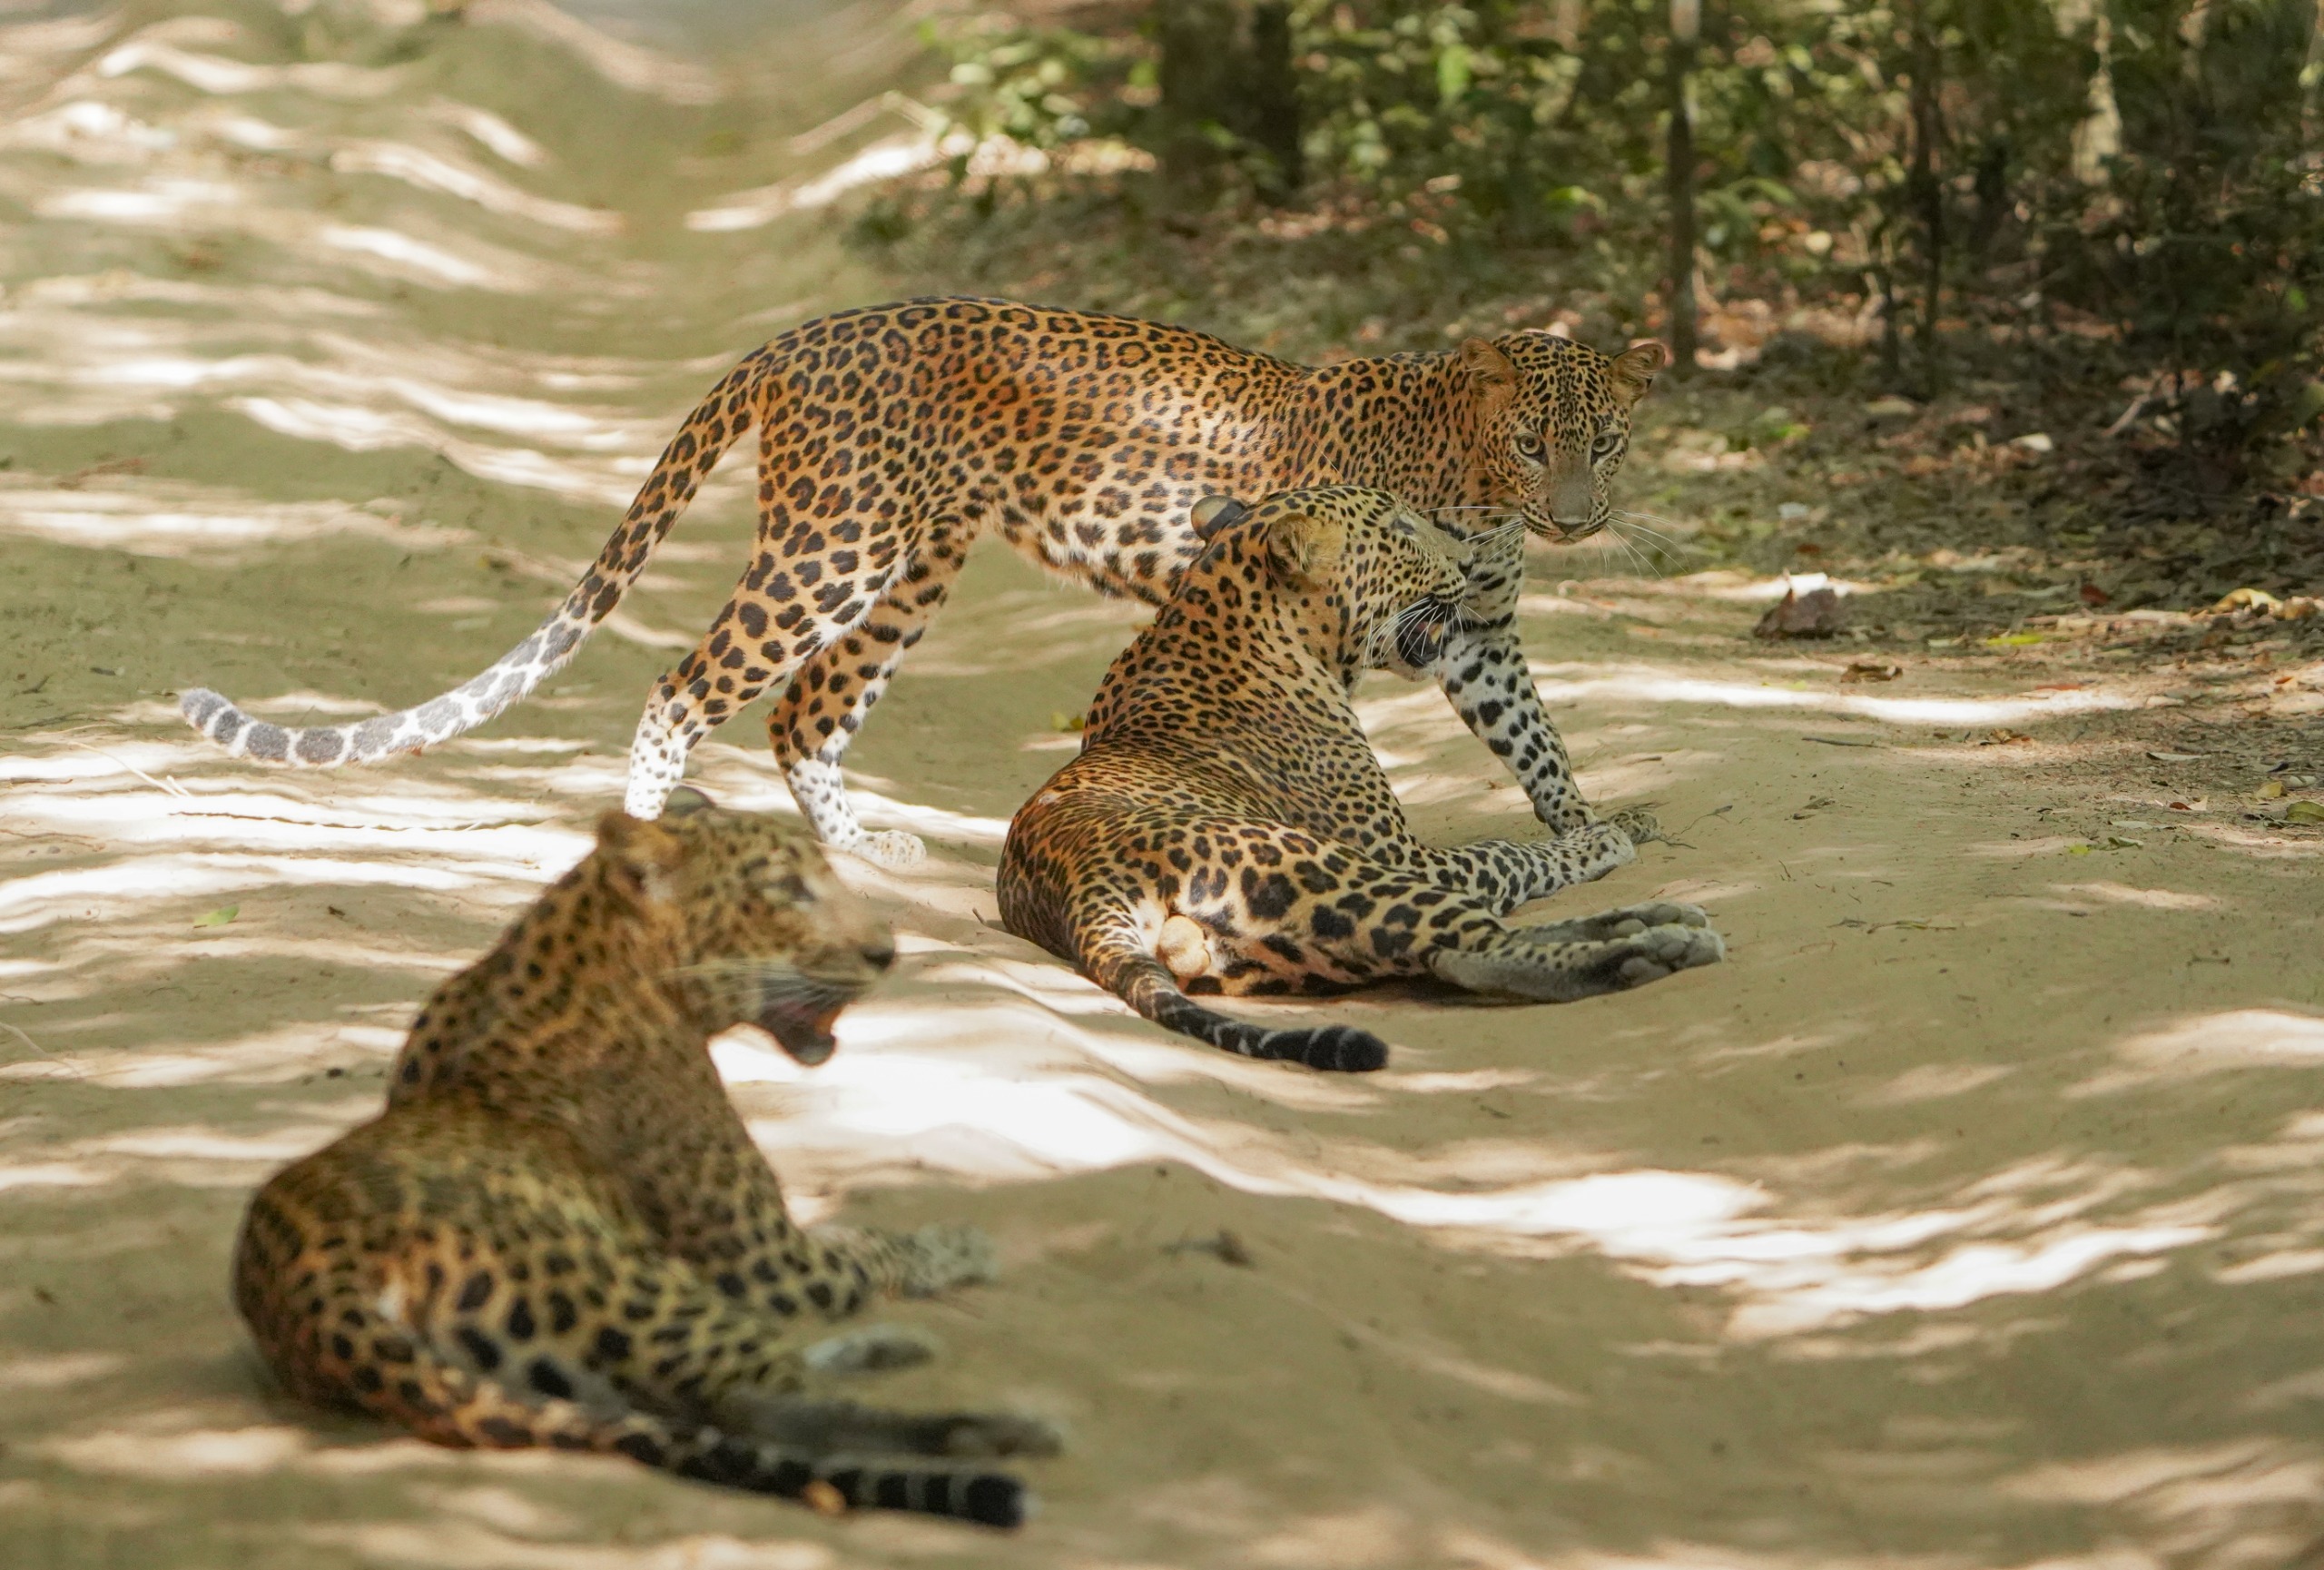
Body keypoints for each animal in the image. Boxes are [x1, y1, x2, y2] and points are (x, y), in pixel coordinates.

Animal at [178, 296, 1667, 867]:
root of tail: (795, 337)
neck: (1474, 485)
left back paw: (860, 847)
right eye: (1534, 442)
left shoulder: (1476, 629)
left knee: (804, 711)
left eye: (1603, 442)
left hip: (906, 565)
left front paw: (1592, 818)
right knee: (687, 682)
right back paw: (647, 833)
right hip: (829, 548)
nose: (1579, 516)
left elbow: (1536, 737)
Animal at [232, 788, 1059, 1528]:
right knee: (762, 1400)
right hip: (630, 1284)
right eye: (787, 890)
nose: (885, 953)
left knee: (716, 1401)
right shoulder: (767, 1259)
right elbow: (875, 1246)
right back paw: (997, 1427)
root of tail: (312, 1295)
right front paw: (963, 1241)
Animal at [996, 487, 1725, 1073]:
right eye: (1400, 529)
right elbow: (1506, 854)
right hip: (1329, 869)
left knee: (1459, 946)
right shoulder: (1406, 854)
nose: (1466, 564)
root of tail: (1081, 884)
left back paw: (1658, 921)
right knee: (1472, 944)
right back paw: (1660, 946)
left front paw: (1622, 820)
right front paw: (1600, 839)